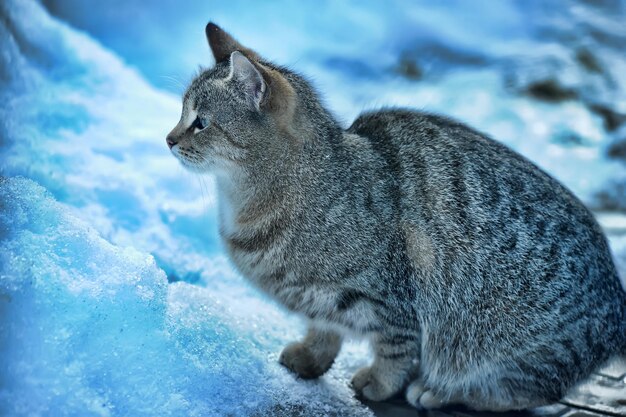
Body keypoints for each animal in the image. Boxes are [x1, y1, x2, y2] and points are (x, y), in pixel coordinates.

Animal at [166, 22, 624, 410]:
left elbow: (396, 348)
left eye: (200, 122)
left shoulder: (394, 297)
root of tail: (616, 300)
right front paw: (311, 356)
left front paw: (381, 382)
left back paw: (442, 391)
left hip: (508, 341)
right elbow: (323, 327)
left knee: (521, 390)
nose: (168, 139)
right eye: (181, 114)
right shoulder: (319, 301)